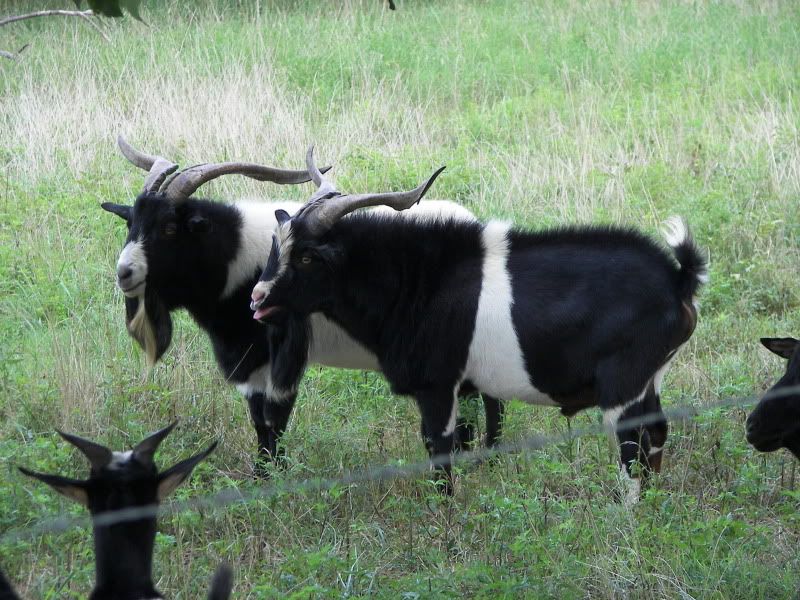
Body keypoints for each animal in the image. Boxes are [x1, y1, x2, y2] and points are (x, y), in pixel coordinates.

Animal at [101, 137, 505, 473]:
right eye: (131, 221)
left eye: (169, 228)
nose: (125, 273)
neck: (239, 255)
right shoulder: (250, 360)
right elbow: (258, 419)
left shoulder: (285, 355)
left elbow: (274, 418)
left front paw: (273, 479)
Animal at [250, 149, 708, 500]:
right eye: (276, 243)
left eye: (307, 256)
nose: (257, 297)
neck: (418, 280)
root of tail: (677, 279)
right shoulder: (468, 388)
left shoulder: (438, 386)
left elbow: (440, 452)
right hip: (651, 379)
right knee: (658, 433)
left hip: (623, 384)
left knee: (634, 446)